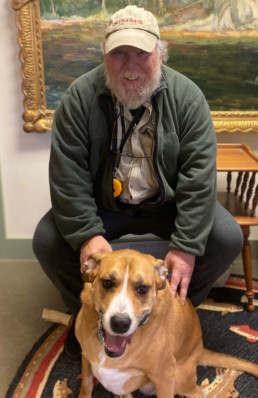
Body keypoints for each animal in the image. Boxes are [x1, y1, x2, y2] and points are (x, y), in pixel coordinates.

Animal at [75, 249, 258, 398]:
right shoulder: (85, 357)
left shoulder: (164, 376)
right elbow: (86, 385)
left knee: (198, 392)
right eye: (107, 282)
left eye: (142, 288)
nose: (120, 324)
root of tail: (199, 348)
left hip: (181, 379)